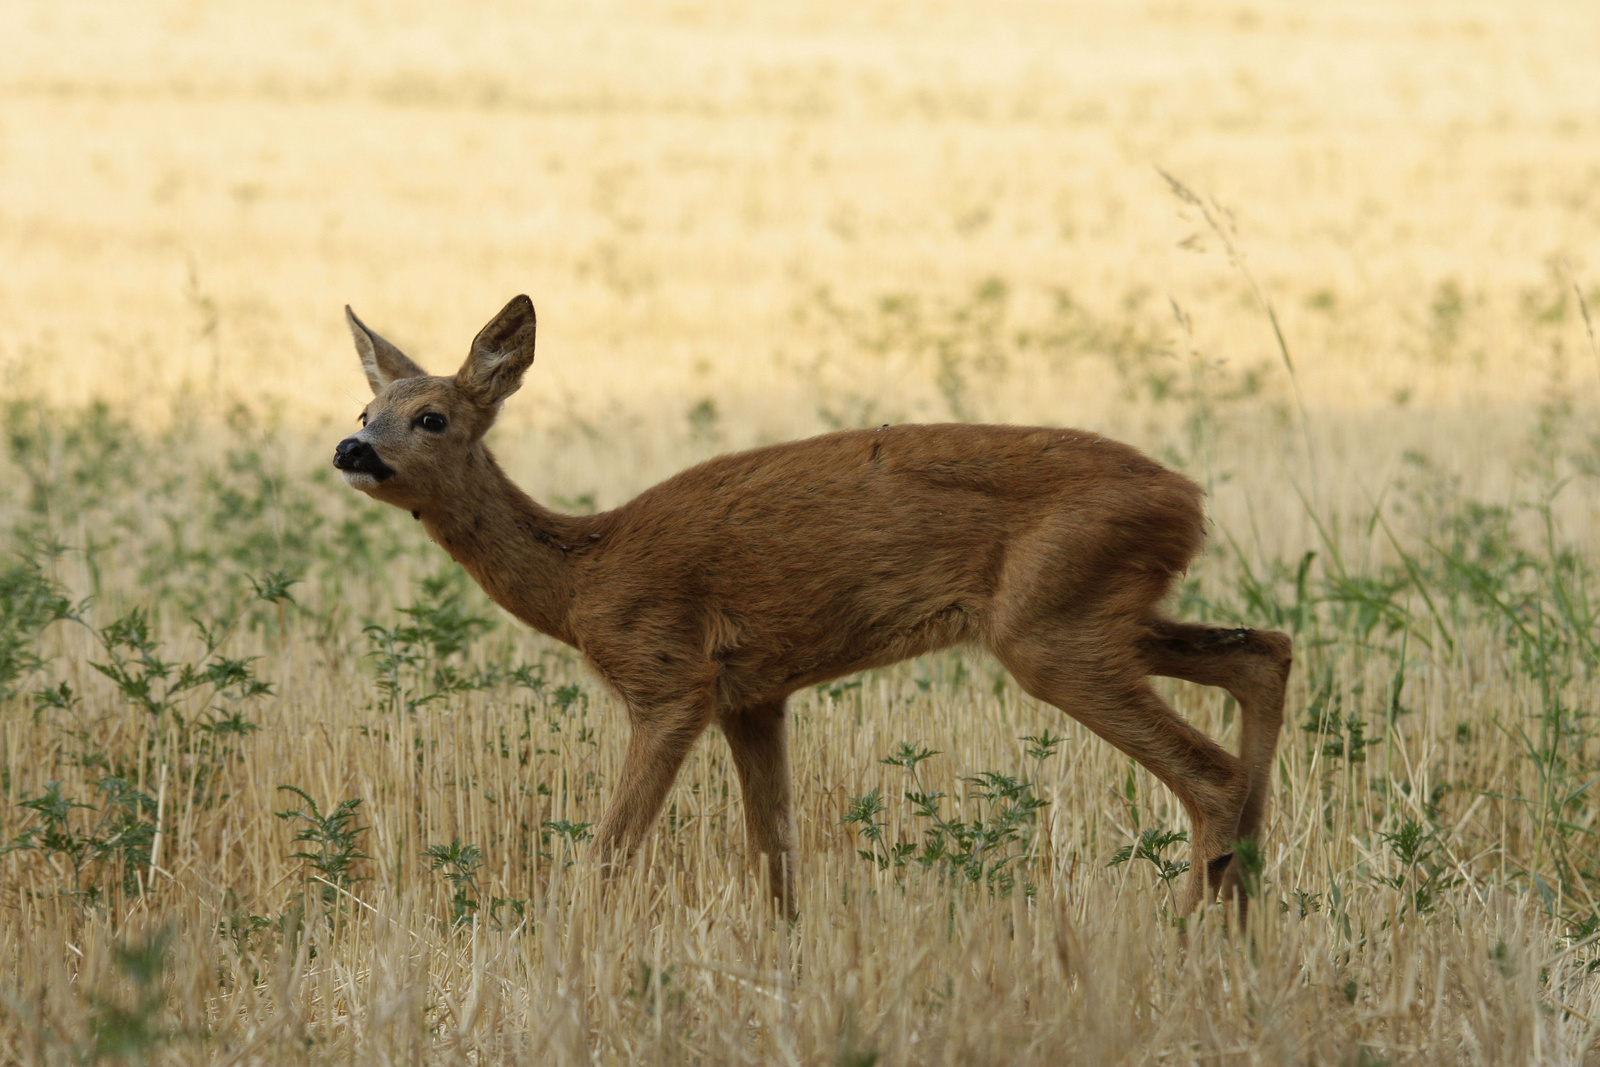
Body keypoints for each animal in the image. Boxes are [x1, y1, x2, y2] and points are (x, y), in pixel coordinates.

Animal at [331, 295, 1292, 921]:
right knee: (1265, 652)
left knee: (1211, 768)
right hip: (1097, 612)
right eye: (367, 404)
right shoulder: (753, 694)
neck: (583, 576)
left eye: (432, 416)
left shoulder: (668, 675)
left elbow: (609, 852)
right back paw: (1247, 919)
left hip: (1051, 625)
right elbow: (777, 856)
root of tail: (1188, 499)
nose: (350, 447)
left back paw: (1184, 939)